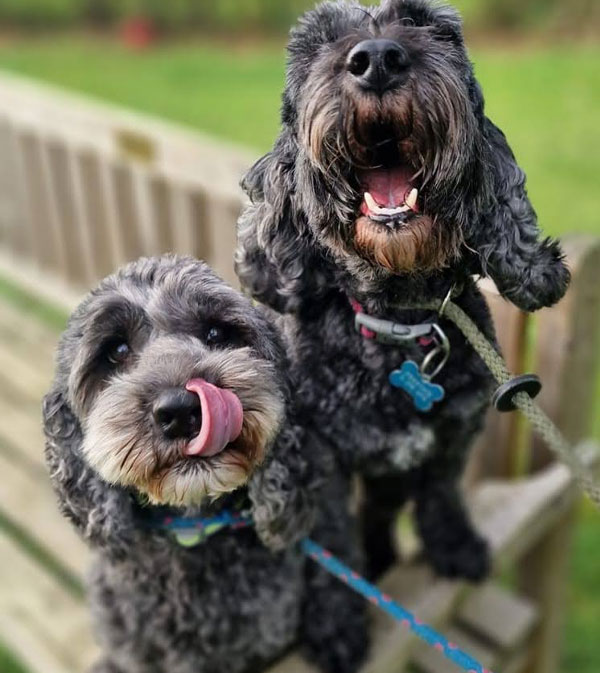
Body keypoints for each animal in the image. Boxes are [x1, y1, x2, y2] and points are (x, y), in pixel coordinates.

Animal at [237, 0, 568, 584]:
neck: (396, 322)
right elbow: (335, 541)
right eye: (319, 42)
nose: (376, 59)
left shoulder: (456, 433)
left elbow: (442, 494)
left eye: (427, 26)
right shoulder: (322, 460)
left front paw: (455, 546)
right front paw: (343, 607)